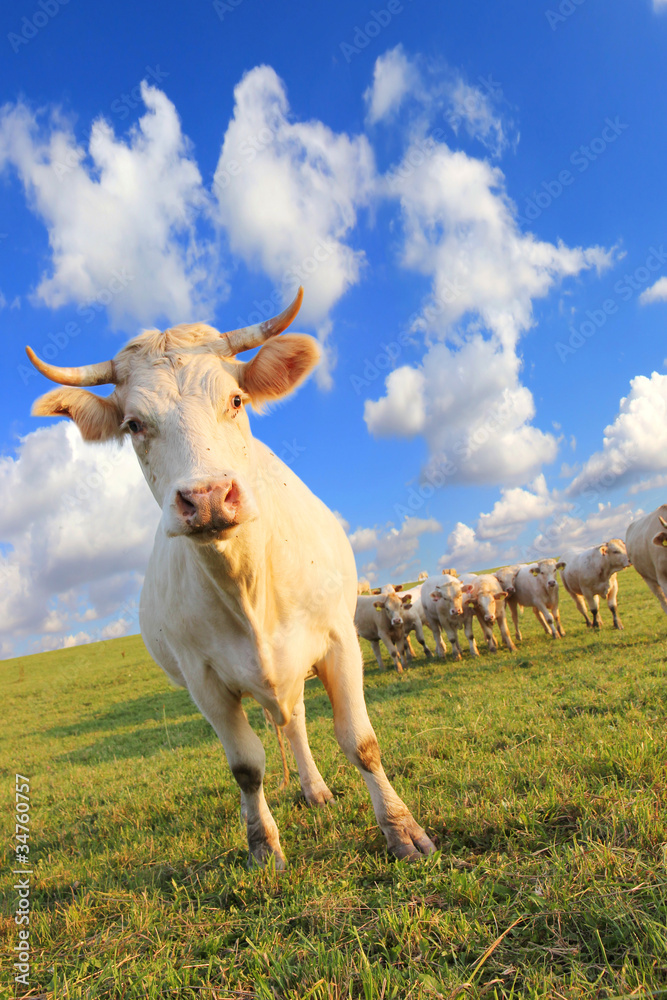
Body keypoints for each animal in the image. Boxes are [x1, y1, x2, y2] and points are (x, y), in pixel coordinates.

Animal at [24, 290, 434, 868]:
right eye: (133, 424)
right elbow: (246, 767)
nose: (209, 498)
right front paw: (263, 847)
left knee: (297, 720)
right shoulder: (204, 681)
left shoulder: (339, 641)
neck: (248, 584)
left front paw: (402, 830)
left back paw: (317, 789)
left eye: (237, 400)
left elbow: (360, 741)